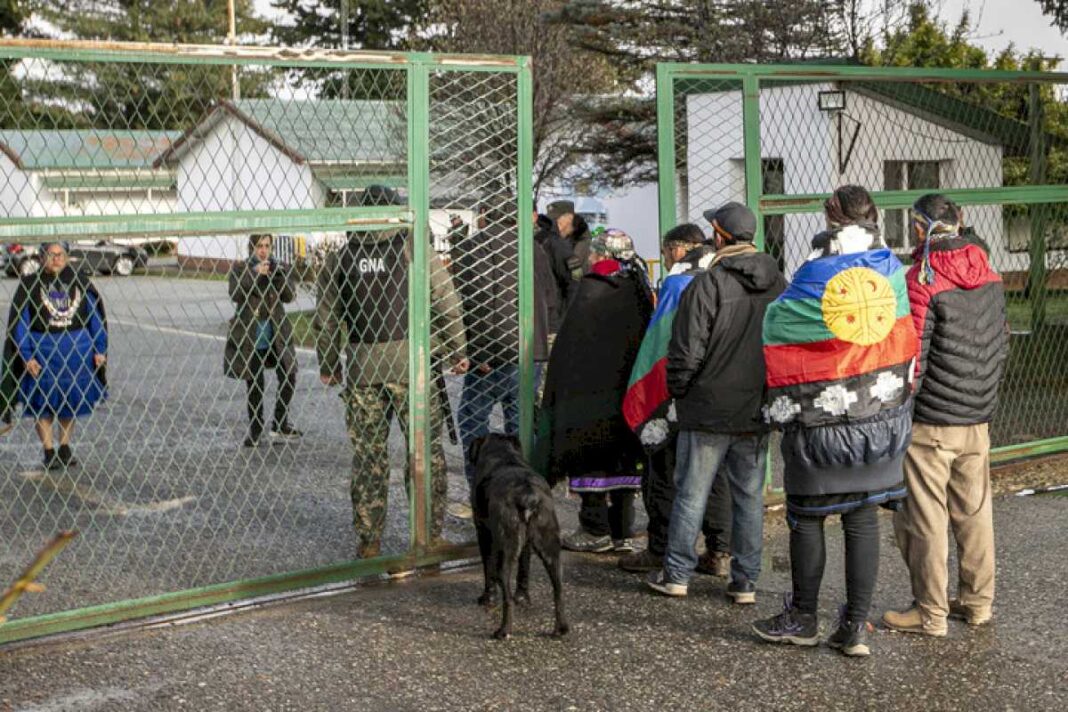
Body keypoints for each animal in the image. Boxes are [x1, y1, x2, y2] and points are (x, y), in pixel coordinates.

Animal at [465, 435, 568, 640]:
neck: (503, 454)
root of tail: (527, 495)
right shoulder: (526, 545)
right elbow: (524, 569)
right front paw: (523, 597)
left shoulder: (484, 534)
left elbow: (487, 569)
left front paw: (488, 598)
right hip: (551, 550)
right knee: (558, 591)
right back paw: (560, 629)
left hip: (506, 551)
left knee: (507, 597)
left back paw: (503, 631)